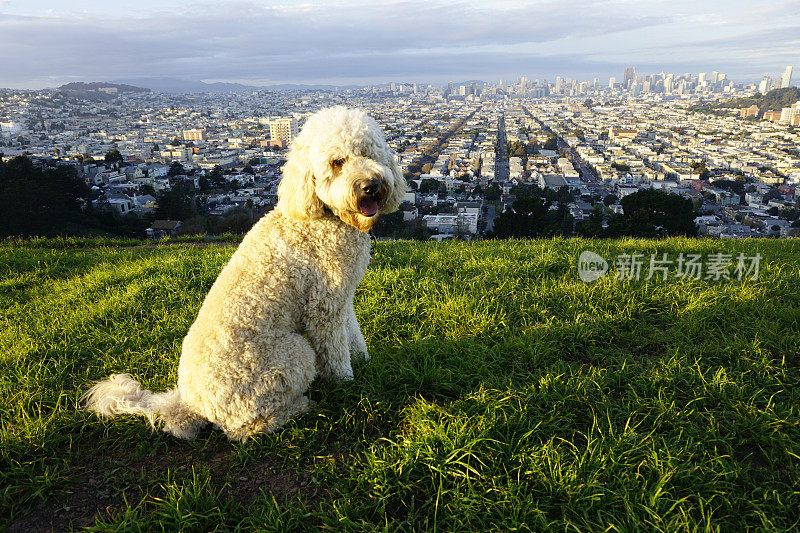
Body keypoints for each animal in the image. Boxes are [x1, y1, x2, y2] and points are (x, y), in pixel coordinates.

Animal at [84, 107, 406, 440]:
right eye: (337, 162)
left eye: (368, 153)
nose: (371, 185)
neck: (324, 218)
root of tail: (190, 406)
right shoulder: (323, 309)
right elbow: (335, 353)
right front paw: (347, 383)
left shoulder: (342, 297)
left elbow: (353, 334)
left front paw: (364, 361)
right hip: (291, 356)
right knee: (244, 430)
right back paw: (298, 408)